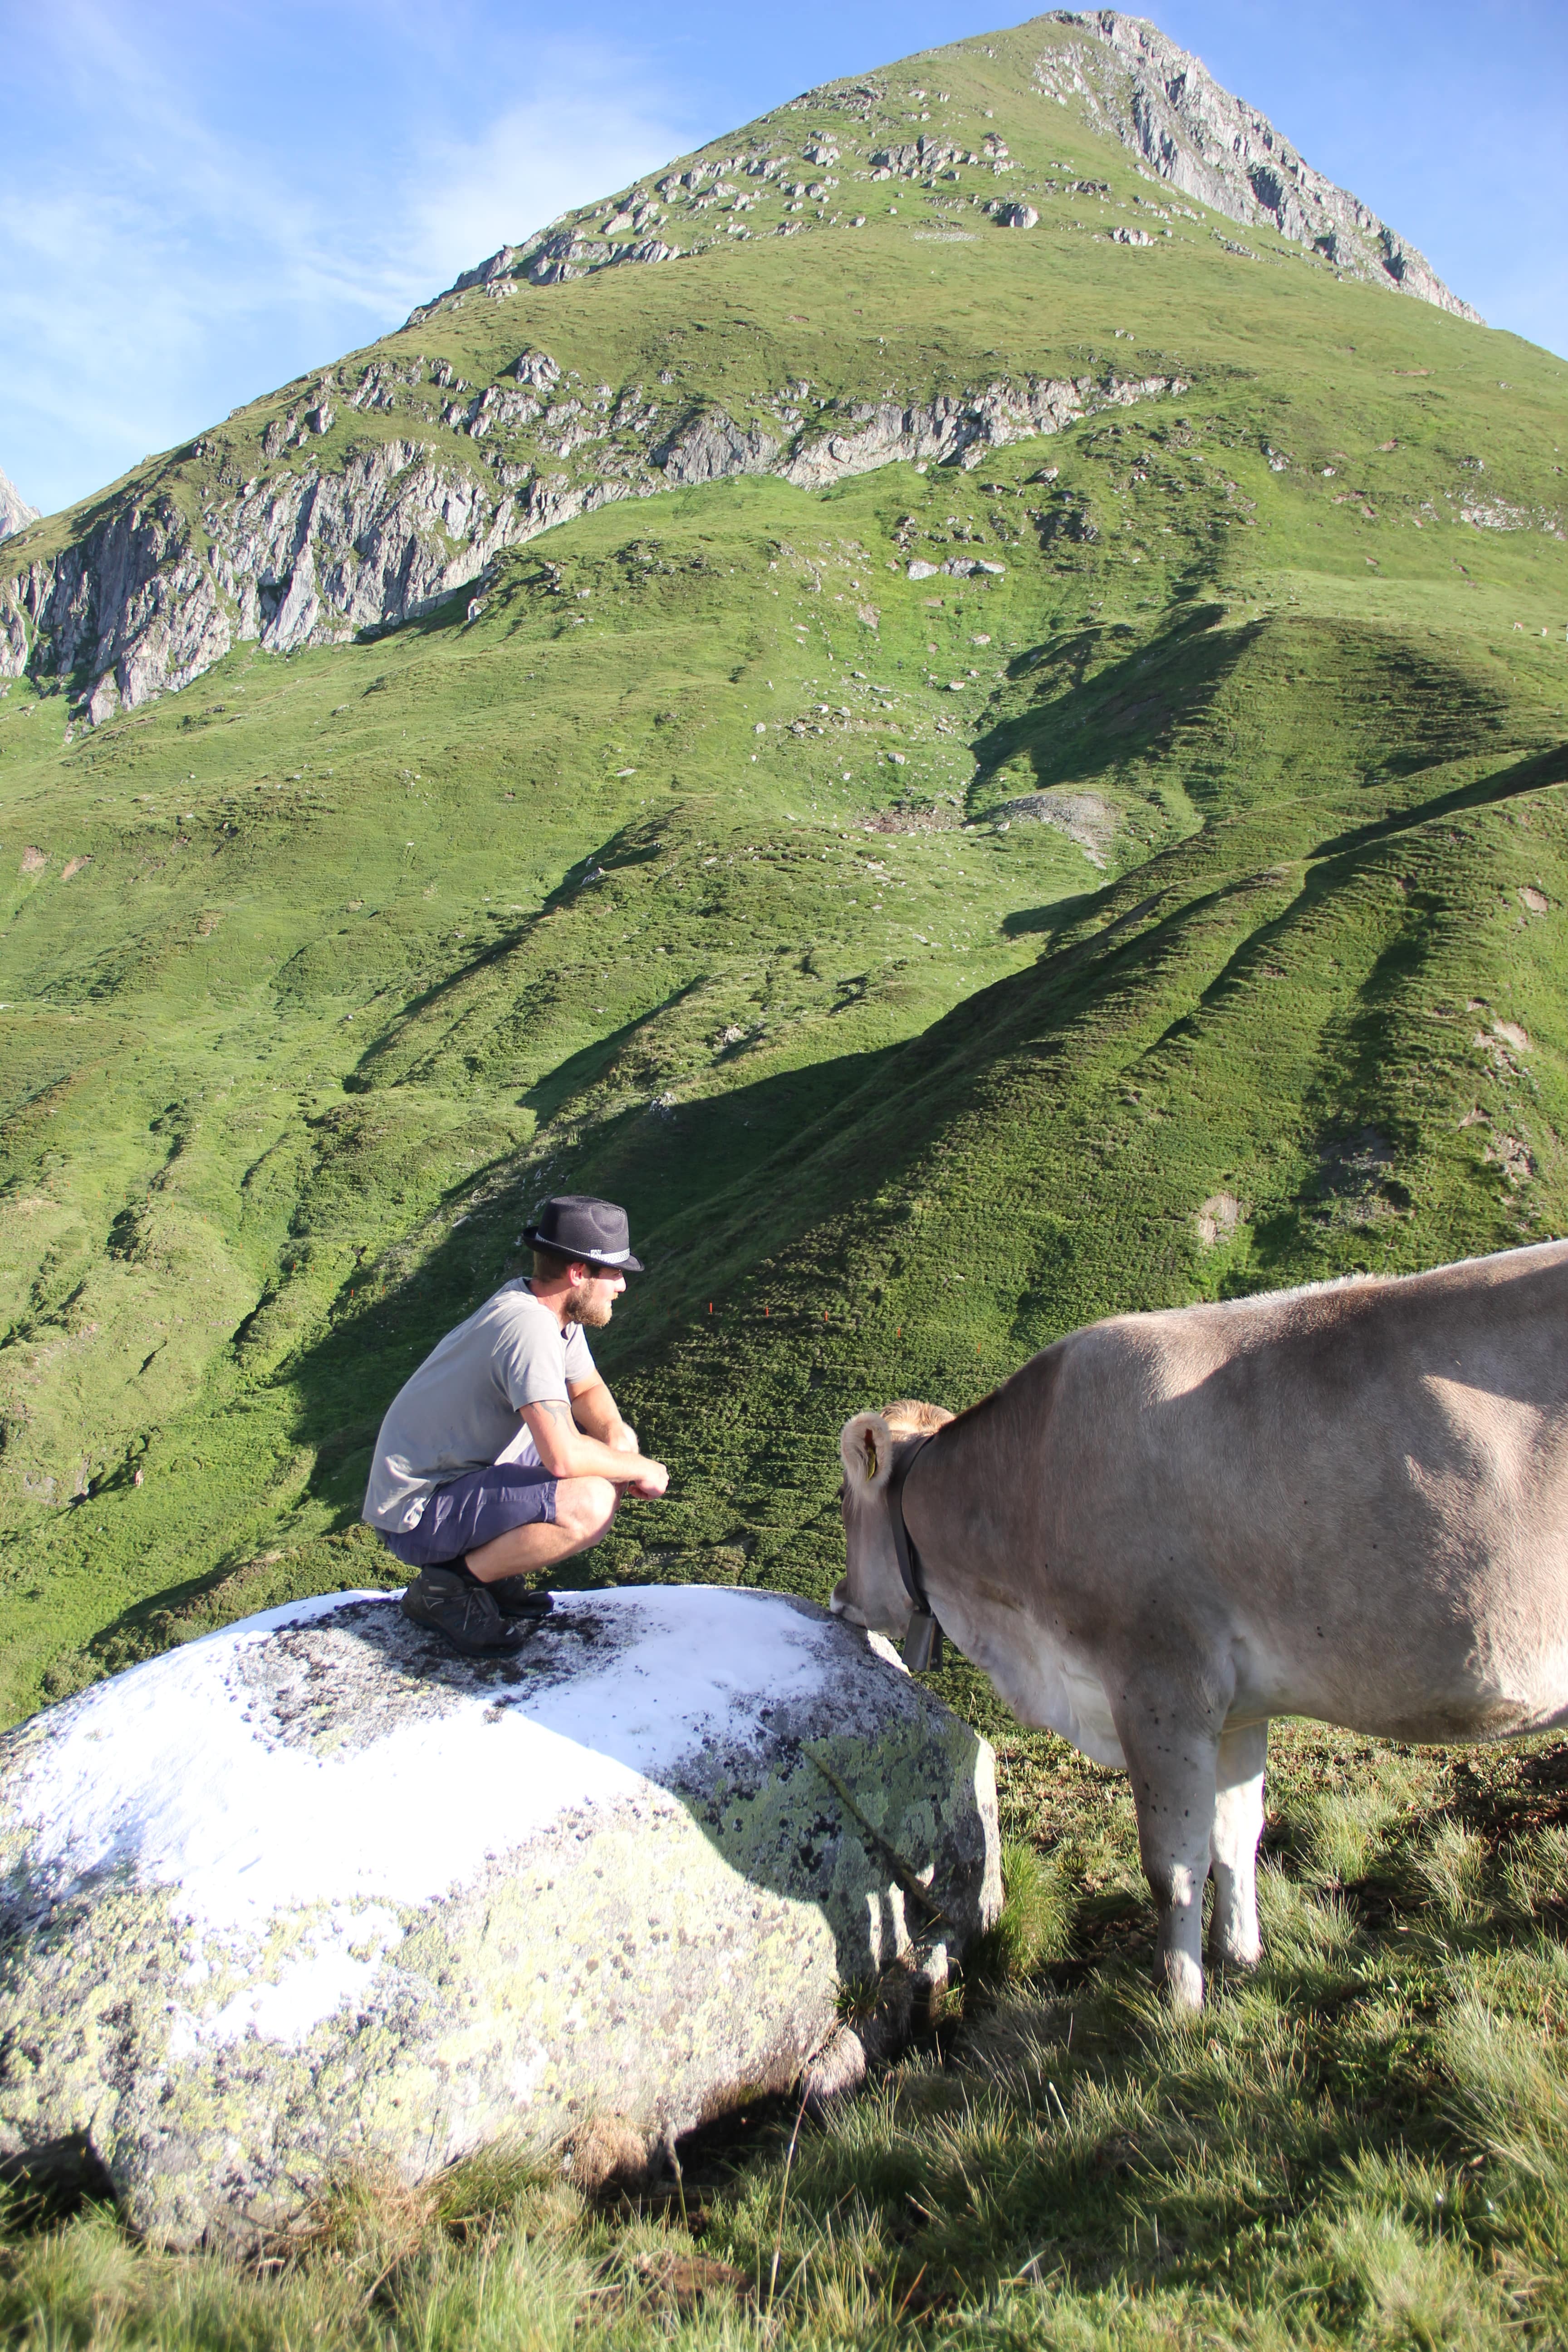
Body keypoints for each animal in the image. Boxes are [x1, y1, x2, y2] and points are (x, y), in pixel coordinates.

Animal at [841, 1242, 1568, 2013]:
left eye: (844, 1500)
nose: (839, 1597)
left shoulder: (1162, 1683)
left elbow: (1175, 1866)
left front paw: (1180, 2002)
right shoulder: (1241, 1705)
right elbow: (1236, 1836)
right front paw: (1240, 1959)